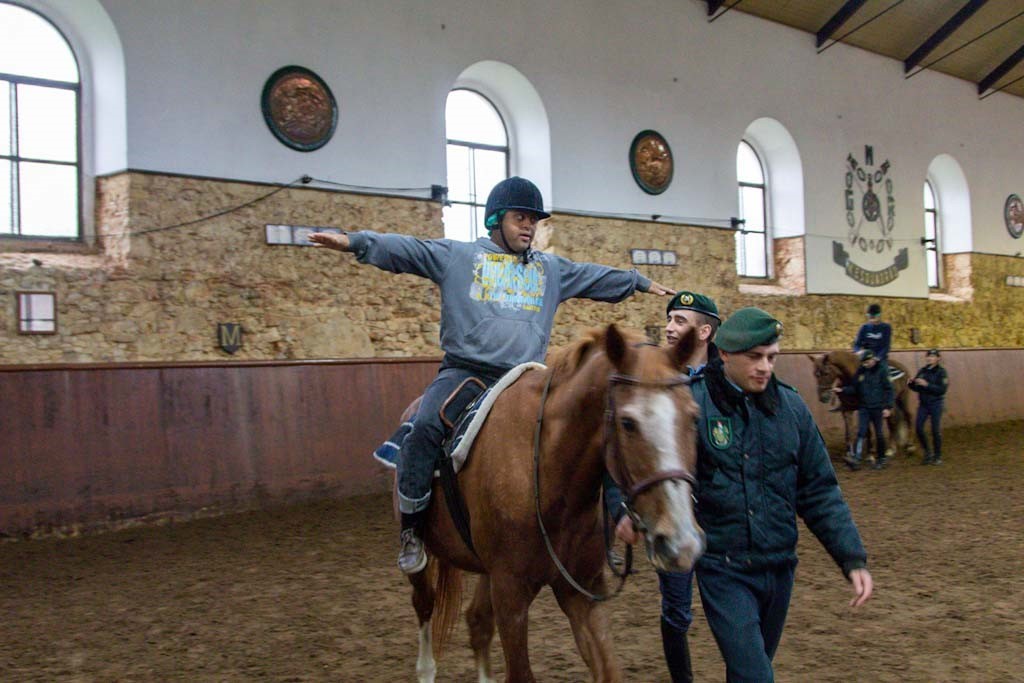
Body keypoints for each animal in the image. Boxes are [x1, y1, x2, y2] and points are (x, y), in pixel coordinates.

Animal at [399, 323, 704, 679]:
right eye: (628, 423)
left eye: (693, 416)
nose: (682, 543)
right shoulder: (511, 596)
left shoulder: (582, 590)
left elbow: (608, 669)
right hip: (428, 561)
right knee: (425, 603)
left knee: (478, 622)